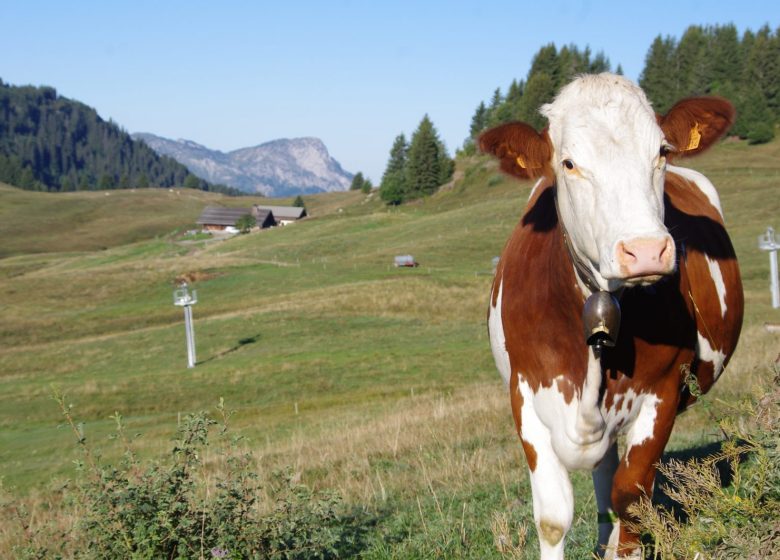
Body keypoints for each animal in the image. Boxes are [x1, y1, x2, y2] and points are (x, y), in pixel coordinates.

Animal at [482, 72, 744, 556]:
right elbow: (553, 517)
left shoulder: (664, 389)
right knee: (603, 468)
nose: (646, 250)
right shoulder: (524, 395)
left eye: (661, 152)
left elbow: (632, 497)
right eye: (568, 163)